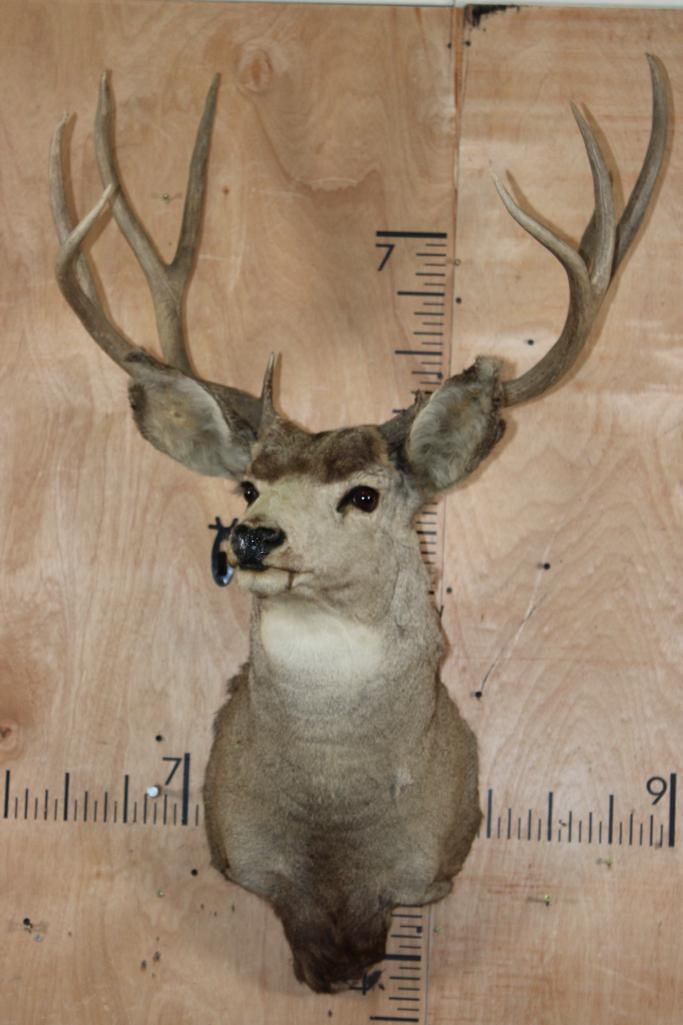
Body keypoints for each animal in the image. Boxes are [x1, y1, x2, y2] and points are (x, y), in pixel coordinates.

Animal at [50, 57, 667, 993]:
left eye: (365, 495)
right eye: (247, 484)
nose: (253, 537)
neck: (334, 835)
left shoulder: (429, 863)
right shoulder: (247, 856)